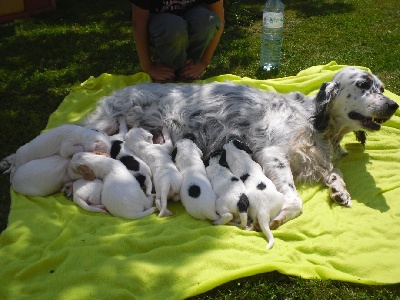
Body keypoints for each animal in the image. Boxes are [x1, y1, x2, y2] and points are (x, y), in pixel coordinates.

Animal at [83, 67, 398, 227]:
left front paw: (339, 191)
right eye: (363, 84)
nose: (393, 105)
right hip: (100, 127)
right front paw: (282, 214)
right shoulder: (273, 155)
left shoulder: (317, 159)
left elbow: (335, 173)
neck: (314, 121)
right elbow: (294, 200)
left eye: (382, 89)